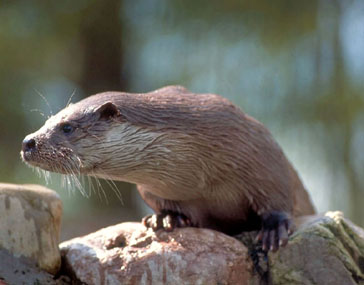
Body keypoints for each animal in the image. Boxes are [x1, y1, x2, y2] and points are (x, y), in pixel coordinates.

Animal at [21, 85, 314, 250]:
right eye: (47, 121)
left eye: (67, 127)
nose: (27, 142)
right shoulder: (151, 188)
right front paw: (167, 218)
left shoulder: (259, 154)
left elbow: (276, 191)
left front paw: (274, 229)